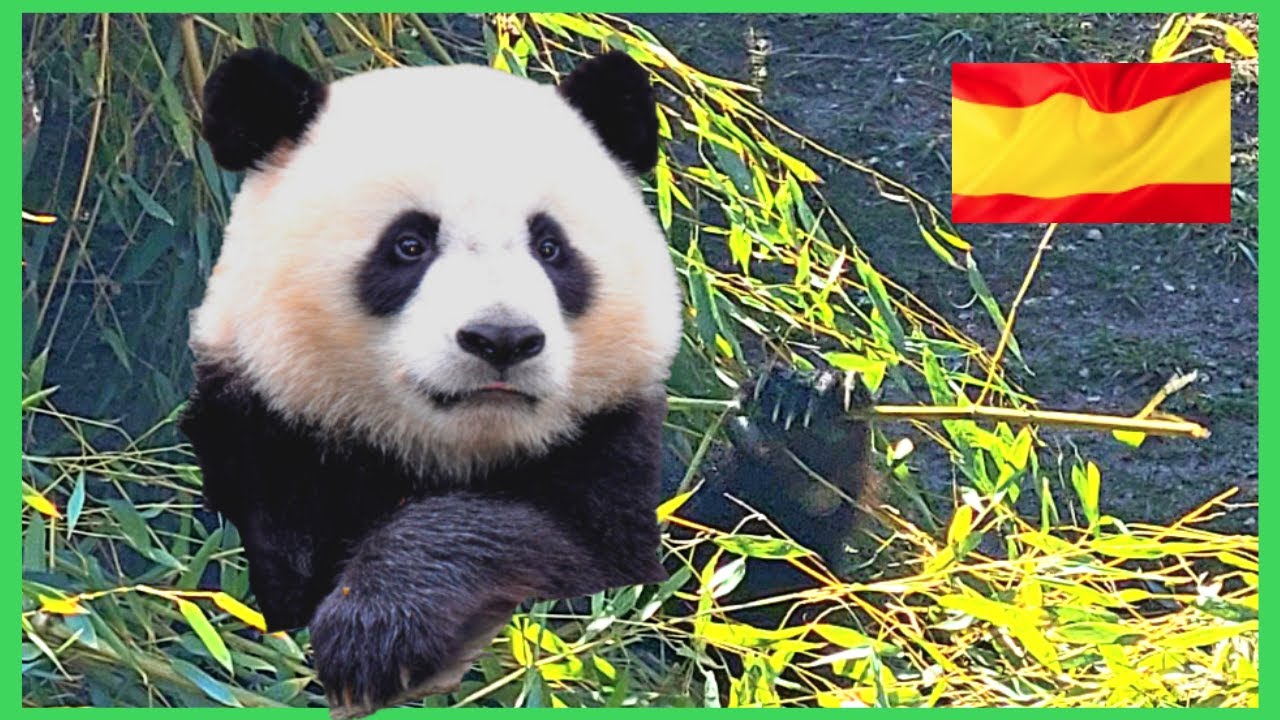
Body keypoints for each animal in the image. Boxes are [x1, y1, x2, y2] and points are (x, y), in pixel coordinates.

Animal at [180, 49, 685, 717]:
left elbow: (563, 548)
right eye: (409, 244)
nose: (502, 340)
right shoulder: (259, 436)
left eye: (550, 247)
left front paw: (373, 630)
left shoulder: (609, 460)